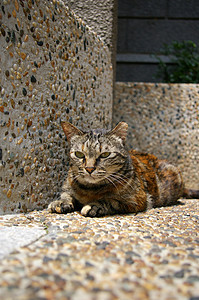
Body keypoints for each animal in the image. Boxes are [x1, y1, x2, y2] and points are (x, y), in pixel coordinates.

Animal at [48, 120, 199, 217]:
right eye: (79, 154)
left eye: (105, 154)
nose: (89, 168)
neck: (90, 190)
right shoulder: (68, 186)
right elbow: (66, 194)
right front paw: (60, 202)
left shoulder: (136, 200)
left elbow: (111, 201)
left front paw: (94, 205)